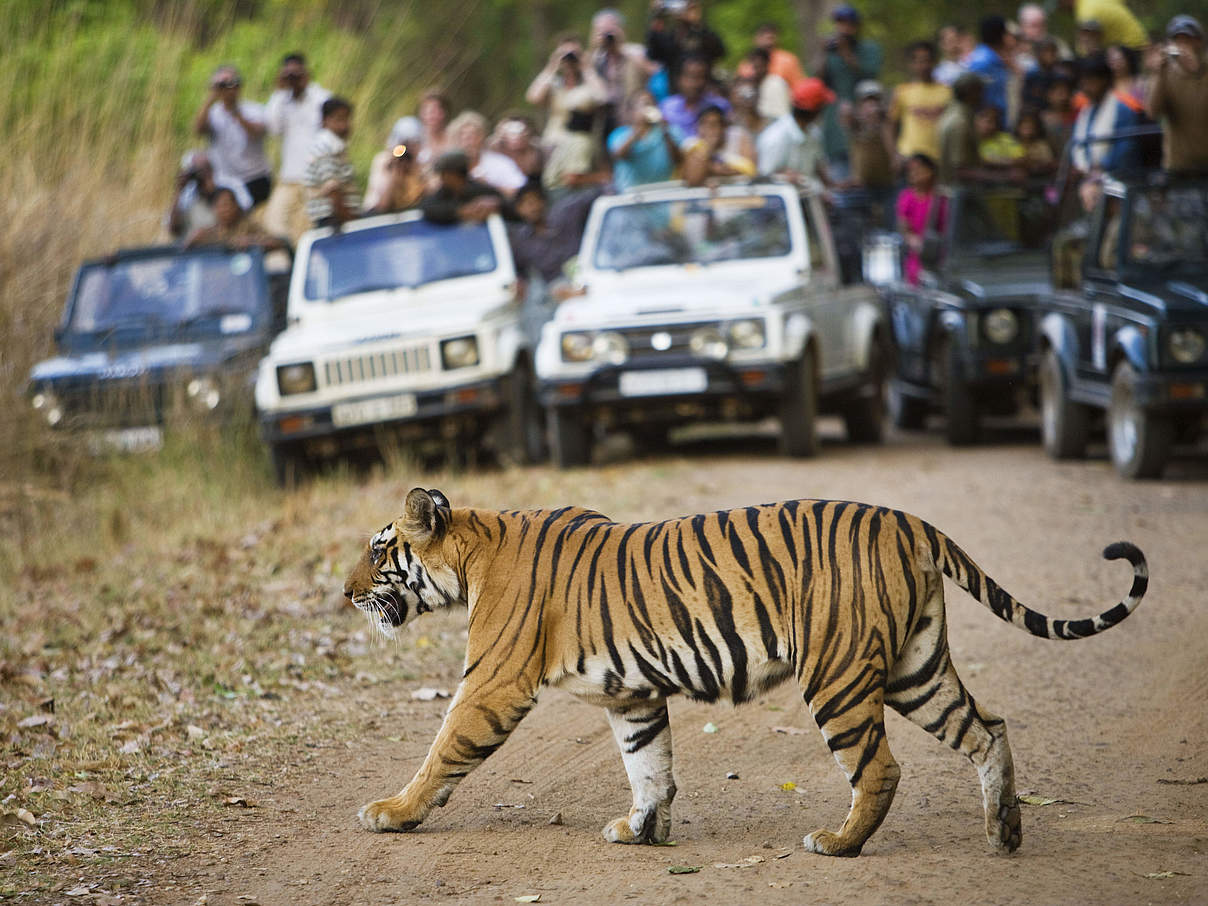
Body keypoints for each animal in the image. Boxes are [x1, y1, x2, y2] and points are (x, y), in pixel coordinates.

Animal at [340, 490, 1140, 860]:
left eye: (379, 552)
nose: (344, 593)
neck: (472, 553)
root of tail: (906, 520)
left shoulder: (492, 683)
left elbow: (442, 751)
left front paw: (391, 812)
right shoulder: (633, 694)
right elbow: (649, 765)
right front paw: (641, 829)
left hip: (838, 675)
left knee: (880, 768)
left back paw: (839, 844)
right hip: (916, 670)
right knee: (987, 729)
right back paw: (1004, 831)